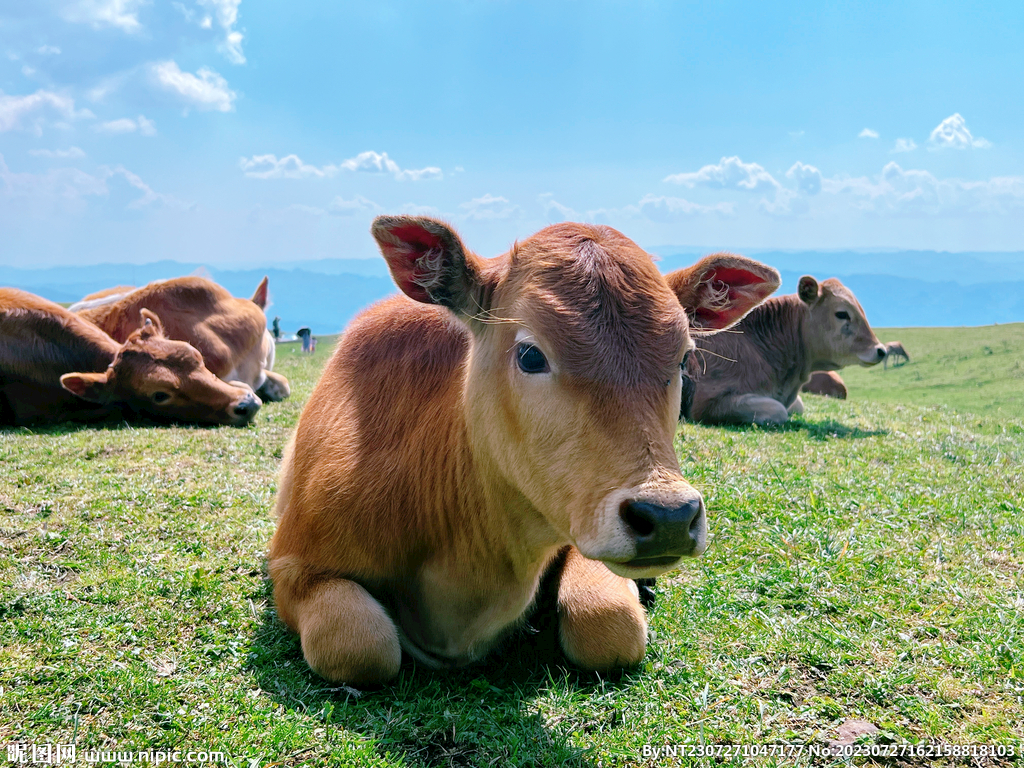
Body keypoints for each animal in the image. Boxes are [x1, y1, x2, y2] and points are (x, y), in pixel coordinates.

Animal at [268, 217, 778, 684]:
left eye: (683, 358)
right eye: (530, 355)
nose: (669, 516)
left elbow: (607, 624)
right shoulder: (293, 565)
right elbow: (359, 643)